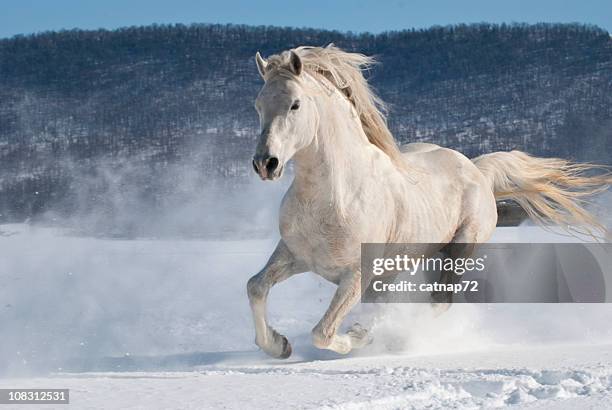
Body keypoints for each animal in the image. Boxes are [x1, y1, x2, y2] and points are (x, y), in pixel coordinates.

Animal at [246, 45, 608, 358]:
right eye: (258, 105)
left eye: (295, 104)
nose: (266, 163)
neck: (335, 196)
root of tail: (475, 169)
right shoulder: (293, 256)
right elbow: (255, 287)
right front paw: (279, 345)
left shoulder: (358, 273)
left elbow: (323, 333)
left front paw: (358, 337)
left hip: (458, 250)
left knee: (438, 302)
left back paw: (396, 338)